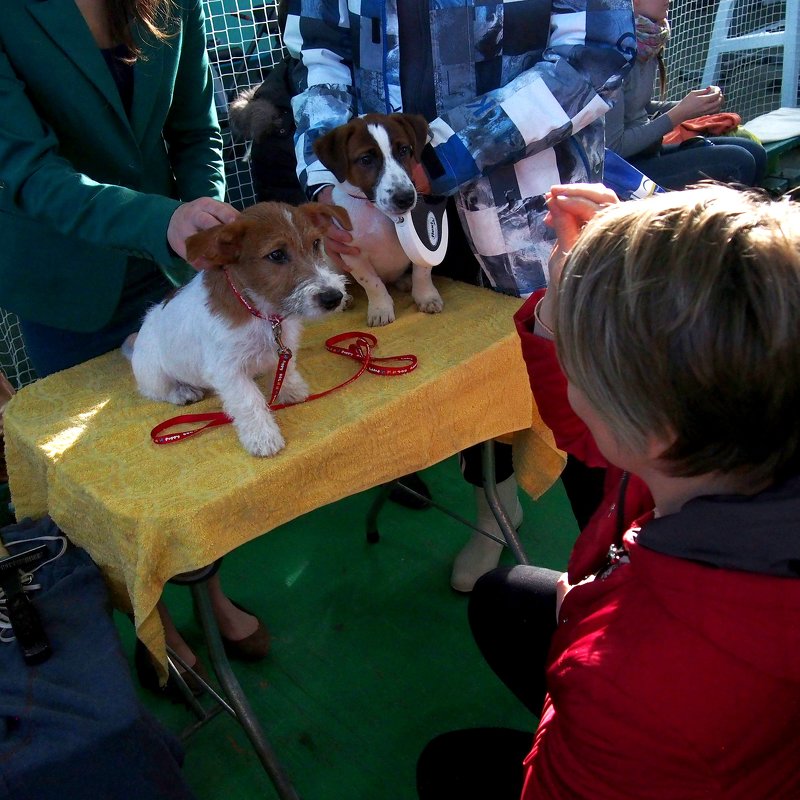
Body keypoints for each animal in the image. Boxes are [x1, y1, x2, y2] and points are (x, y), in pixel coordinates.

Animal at [131, 202, 350, 456]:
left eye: (316, 243)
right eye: (276, 254)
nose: (333, 297)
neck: (262, 312)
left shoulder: (283, 346)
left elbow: (285, 369)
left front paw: (291, 390)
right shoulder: (228, 370)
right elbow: (249, 401)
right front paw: (263, 437)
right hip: (153, 372)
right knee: (156, 390)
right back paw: (182, 392)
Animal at [310, 111, 444, 326]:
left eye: (404, 150)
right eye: (366, 159)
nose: (405, 198)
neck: (376, 211)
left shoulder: (419, 248)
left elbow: (422, 273)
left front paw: (426, 296)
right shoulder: (352, 255)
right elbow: (373, 284)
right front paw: (380, 309)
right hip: (330, 262)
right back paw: (344, 298)